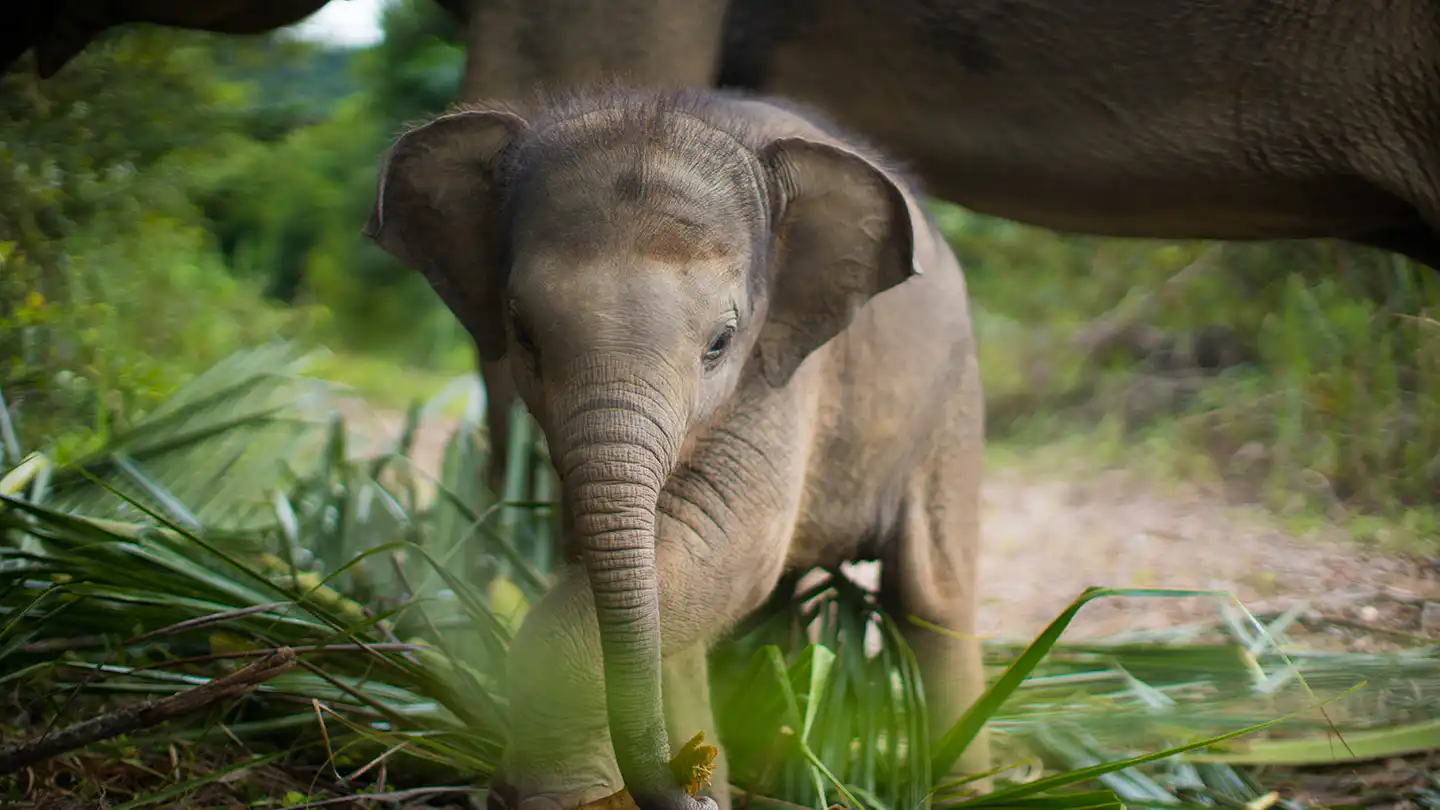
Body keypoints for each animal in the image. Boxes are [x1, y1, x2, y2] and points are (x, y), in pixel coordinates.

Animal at [363, 84, 991, 810]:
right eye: (523, 333)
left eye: (720, 343)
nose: (690, 787)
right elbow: (664, 572)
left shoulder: (789, 369)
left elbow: (730, 540)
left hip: (953, 409)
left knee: (931, 599)